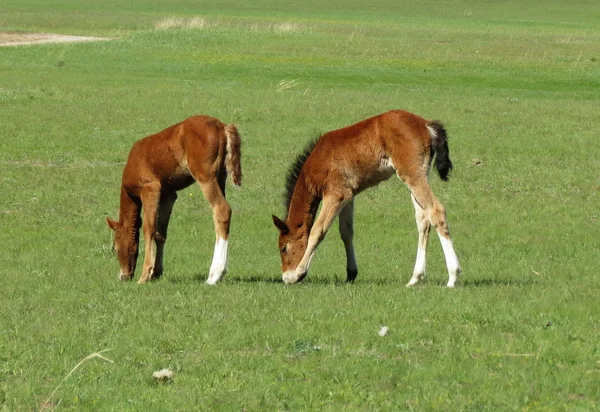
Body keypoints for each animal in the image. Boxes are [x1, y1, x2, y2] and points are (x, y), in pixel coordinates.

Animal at [108, 114, 241, 284]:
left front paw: (144, 276)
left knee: (222, 210)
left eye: (116, 247)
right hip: (221, 177)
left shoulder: (150, 189)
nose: (123, 276)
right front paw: (156, 273)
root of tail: (222, 127)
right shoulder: (168, 195)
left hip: (205, 177)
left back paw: (214, 275)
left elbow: (149, 229)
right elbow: (160, 233)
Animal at [274, 109, 462, 286]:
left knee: (436, 211)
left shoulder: (335, 195)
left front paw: (298, 274)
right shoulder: (348, 195)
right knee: (423, 219)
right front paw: (351, 273)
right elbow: (346, 231)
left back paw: (453, 277)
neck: (318, 161)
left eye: (283, 248)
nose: (285, 277)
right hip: (418, 177)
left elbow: (317, 231)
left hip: (412, 175)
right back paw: (415, 278)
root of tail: (426, 124)